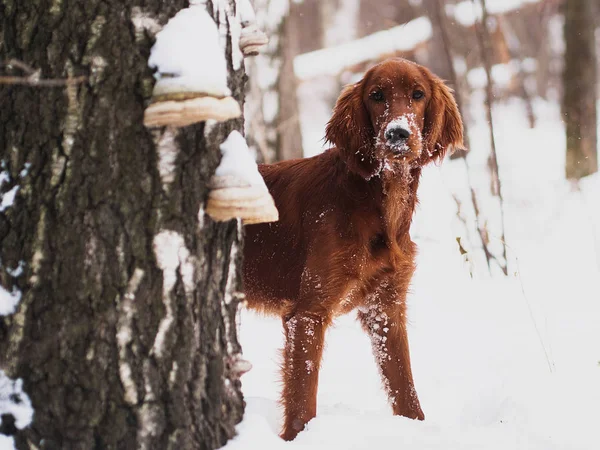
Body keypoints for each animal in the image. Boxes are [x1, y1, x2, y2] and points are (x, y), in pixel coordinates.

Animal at [243, 56, 464, 440]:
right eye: (376, 96)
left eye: (418, 94)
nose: (397, 134)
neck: (380, 203)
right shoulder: (308, 314)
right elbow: (303, 398)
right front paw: (297, 439)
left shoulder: (386, 309)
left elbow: (405, 389)